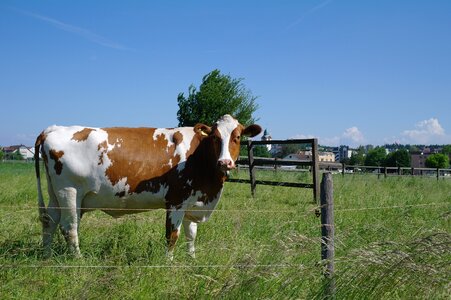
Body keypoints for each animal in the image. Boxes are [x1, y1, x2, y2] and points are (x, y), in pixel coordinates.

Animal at [34, 115, 262, 260]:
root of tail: (55, 128)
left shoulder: (193, 202)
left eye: (237, 137)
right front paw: (169, 263)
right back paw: (79, 260)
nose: (225, 162)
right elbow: (172, 235)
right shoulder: (176, 200)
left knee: (50, 221)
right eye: (215, 137)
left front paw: (192, 259)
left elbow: (191, 234)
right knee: (69, 227)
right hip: (69, 192)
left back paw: (46, 257)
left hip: (55, 194)